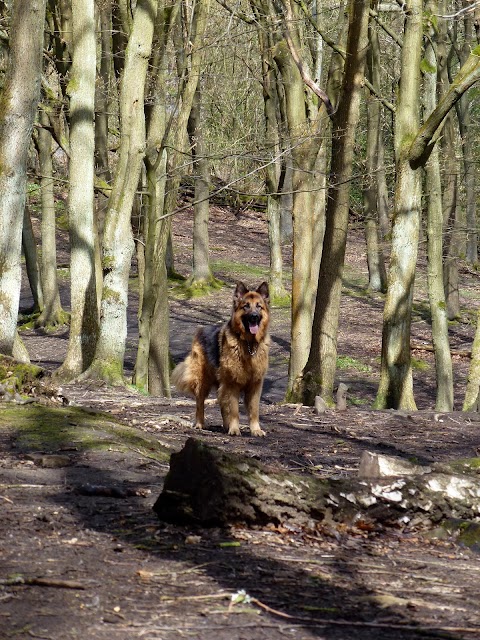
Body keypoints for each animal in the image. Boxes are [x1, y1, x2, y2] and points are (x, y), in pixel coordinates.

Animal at [172, 284, 270, 438]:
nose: (254, 317)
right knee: (200, 402)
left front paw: (255, 430)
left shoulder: (255, 385)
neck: (248, 344)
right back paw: (200, 424)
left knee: (221, 402)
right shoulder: (233, 383)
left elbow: (254, 411)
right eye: (246, 306)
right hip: (204, 381)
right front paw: (235, 429)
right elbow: (234, 410)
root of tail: (201, 329)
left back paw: (226, 425)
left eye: (259, 306)